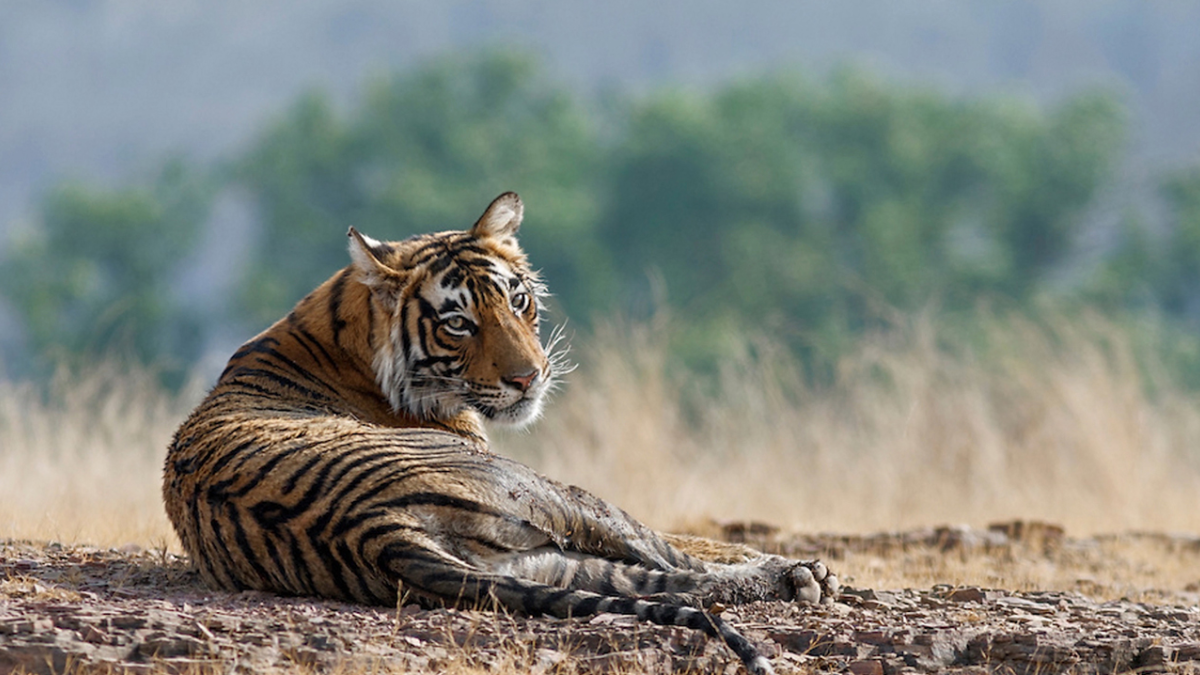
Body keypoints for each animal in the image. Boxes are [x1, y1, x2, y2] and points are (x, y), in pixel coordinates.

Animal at [162, 192, 835, 667]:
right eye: (457, 322)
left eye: (517, 300)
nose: (529, 377)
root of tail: (373, 532)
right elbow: (682, 536)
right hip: (544, 491)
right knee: (663, 555)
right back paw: (800, 574)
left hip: (537, 565)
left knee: (660, 580)